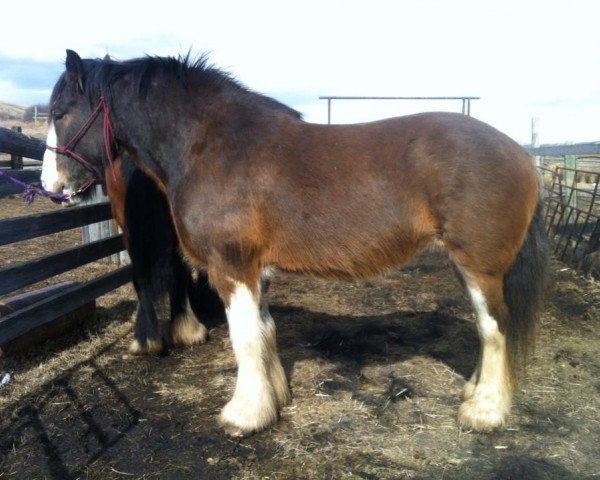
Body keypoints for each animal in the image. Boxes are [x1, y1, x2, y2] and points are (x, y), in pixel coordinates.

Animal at [41, 50, 548, 436]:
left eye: (59, 113)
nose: (51, 184)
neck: (210, 146)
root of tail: (522, 155)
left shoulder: (231, 267)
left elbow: (244, 338)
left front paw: (244, 415)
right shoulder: (253, 269)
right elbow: (265, 331)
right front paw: (274, 398)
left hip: (480, 265)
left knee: (495, 327)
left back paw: (484, 411)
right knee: (487, 326)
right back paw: (476, 392)